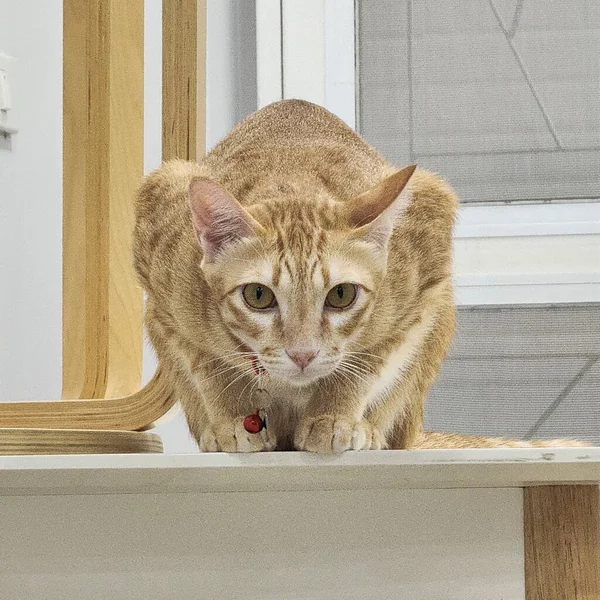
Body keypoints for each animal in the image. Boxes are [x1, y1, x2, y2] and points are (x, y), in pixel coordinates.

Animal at [134, 101, 588, 452]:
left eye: (342, 295)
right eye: (258, 296)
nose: (303, 354)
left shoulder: (420, 292)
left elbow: (368, 362)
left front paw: (334, 418)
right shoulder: (164, 297)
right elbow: (208, 364)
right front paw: (232, 419)